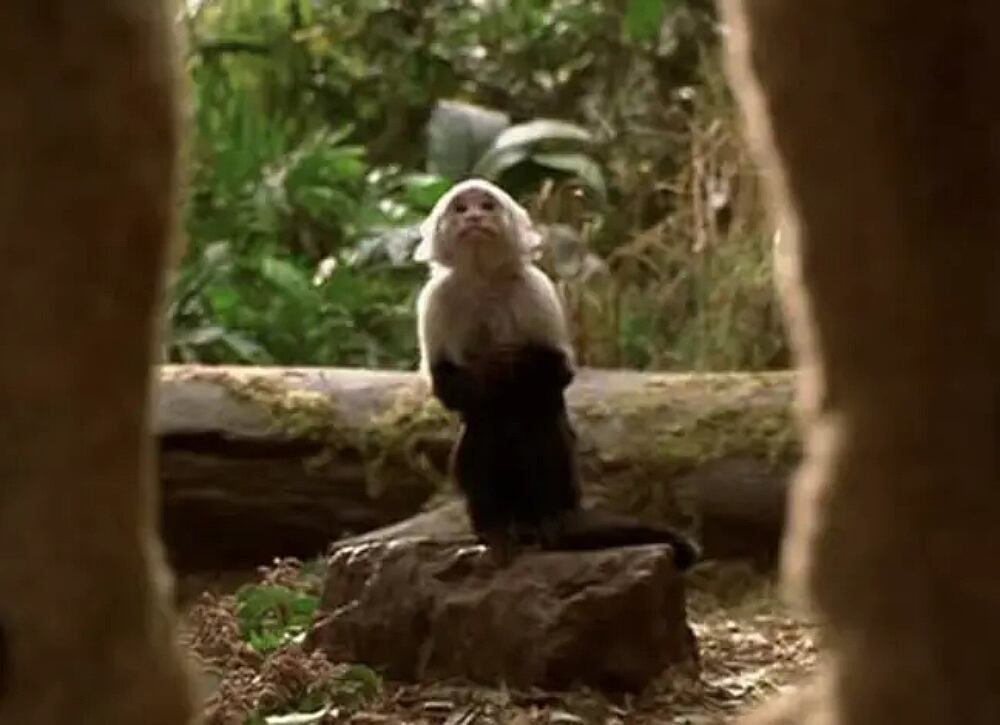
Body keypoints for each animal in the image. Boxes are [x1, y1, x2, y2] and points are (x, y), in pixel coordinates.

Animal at [414, 178, 700, 570]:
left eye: (486, 206)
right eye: (461, 208)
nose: (473, 217)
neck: (484, 279)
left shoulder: (535, 288)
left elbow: (556, 371)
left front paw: (512, 361)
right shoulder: (436, 299)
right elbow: (448, 386)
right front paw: (491, 369)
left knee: (538, 416)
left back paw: (558, 526)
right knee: (483, 428)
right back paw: (497, 531)